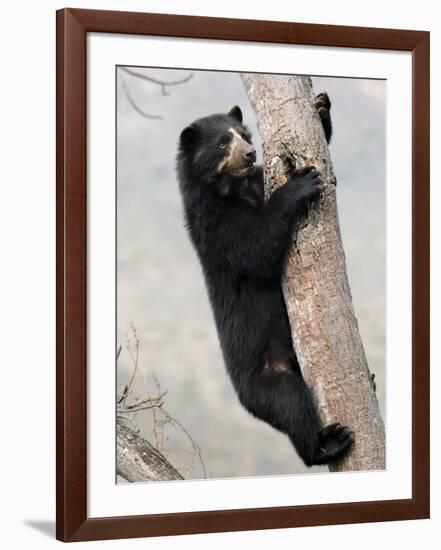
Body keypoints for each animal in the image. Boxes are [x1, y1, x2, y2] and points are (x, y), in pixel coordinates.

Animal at [177, 91, 352, 466]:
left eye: (244, 134)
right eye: (223, 142)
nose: (250, 152)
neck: (235, 189)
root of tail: (243, 399)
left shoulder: (257, 182)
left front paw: (321, 108)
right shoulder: (218, 227)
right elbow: (257, 249)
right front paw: (302, 183)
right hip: (270, 378)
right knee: (292, 406)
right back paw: (328, 444)